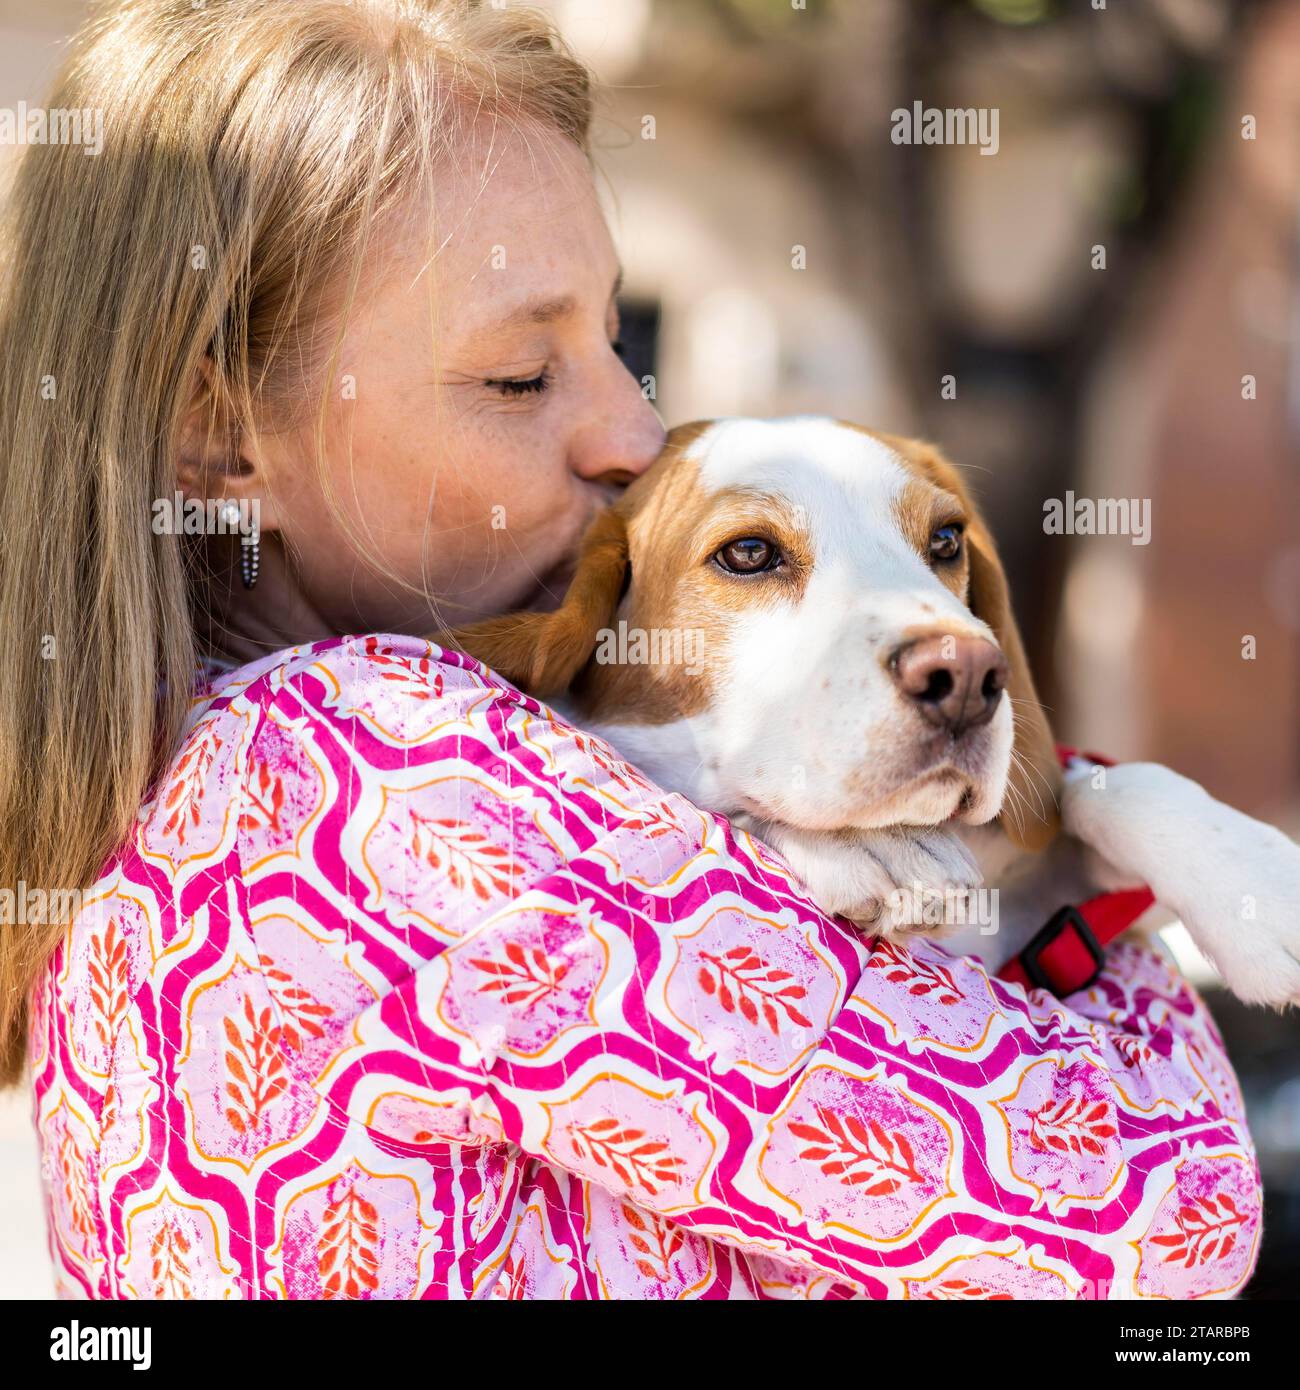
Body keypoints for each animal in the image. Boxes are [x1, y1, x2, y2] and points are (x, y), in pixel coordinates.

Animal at [453, 417, 1300, 1006]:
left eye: (948, 538)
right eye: (749, 554)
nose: (967, 676)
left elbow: (1103, 784)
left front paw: (1257, 886)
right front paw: (884, 851)